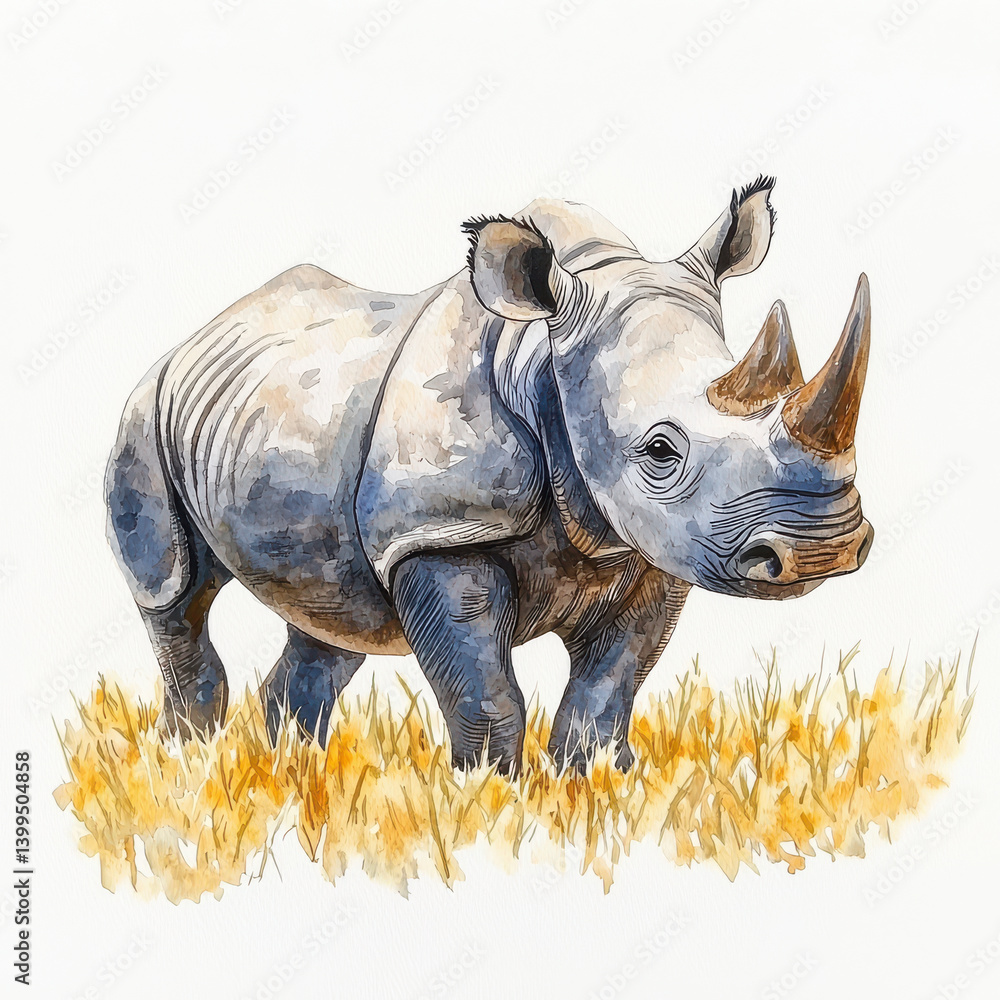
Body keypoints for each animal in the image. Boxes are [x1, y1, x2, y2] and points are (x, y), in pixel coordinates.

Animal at [106, 176, 873, 772]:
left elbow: (609, 689)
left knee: (329, 622)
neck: (541, 354)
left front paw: (595, 787)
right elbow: (486, 695)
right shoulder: (438, 531)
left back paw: (292, 774)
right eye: (661, 452)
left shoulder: (649, 548)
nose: (821, 549)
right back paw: (190, 765)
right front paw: (485, 798)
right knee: (173, 590)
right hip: (142, 416)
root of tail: (196, 338)